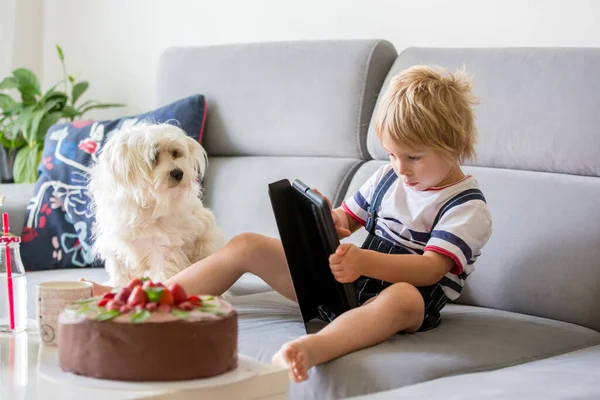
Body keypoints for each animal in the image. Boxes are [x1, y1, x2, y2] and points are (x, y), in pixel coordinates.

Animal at [86, 122, 223, 288]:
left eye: (175, 153)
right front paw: (116, 286)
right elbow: (119, 272)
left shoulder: (163, 247)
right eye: (154, 157)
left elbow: (162, 272)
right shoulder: (116, 244)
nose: (178, 173)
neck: (147, 202)